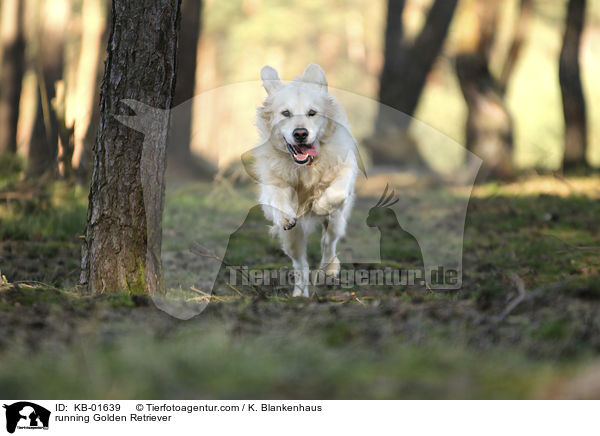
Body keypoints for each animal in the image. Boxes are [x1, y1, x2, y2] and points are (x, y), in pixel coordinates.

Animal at [252, 64, 358, 296]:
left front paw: (320, 204)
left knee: (328, 242)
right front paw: (285, 217)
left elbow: (336, 191)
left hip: (336, 221)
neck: (306, 167)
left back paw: (329, 269)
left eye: (312, 112)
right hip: (293, 239)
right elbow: (277, 199)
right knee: (300, 263)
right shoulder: (272, 184)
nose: (300, 133)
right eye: (285, 113)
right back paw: (300, 294)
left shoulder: (346, 170)